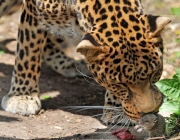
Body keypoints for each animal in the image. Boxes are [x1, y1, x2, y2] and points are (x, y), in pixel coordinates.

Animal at [0, 0, 170, 123]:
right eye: (120, 84)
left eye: (154, 73)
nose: (148, 113)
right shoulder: (32, 11)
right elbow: (28, 50)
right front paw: (22, 96)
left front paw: (116, 109)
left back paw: (66, 62)